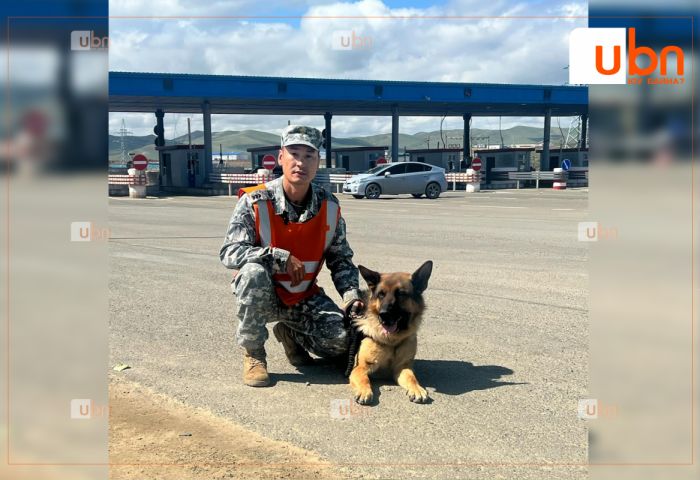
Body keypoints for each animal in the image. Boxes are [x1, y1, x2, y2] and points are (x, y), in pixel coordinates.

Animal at [346, 260, 430, 404]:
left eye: (400, 294)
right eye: (381, 294)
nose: (383, 315)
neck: (392, 340)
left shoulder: (402, 368)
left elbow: (412, 378)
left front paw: (417, 389)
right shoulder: (360, 368)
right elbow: (365, 379)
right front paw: (364, 391)